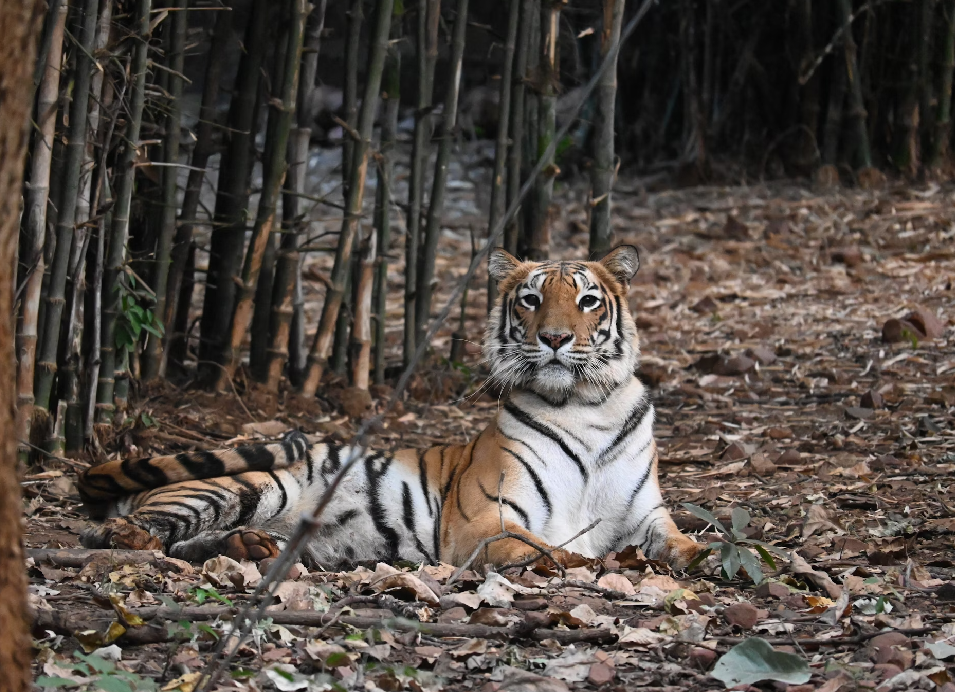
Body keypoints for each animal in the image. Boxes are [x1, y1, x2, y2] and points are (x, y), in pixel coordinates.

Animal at [78, 246, 701, 570]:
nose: (553, 338)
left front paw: (697, 556)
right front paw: (587, 562)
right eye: (530, 298)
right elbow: (549, 548)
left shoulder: (645, 514)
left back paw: (249, 545)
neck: (586, 406)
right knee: (120, 533)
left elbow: (679, 540)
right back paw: (137, 538)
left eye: (588, 300)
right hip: (249, 483)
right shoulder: (486, 521)